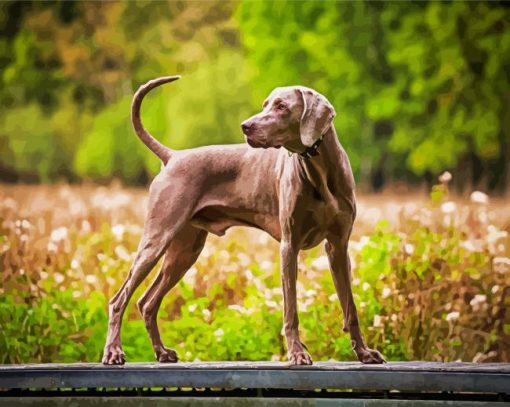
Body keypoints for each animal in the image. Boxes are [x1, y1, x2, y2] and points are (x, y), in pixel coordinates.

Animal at [101, 75, 384, 366]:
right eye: (265, 104)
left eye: (281, 106)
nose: (245, 126)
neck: (319, 170)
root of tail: (173, 156)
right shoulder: (289, 245)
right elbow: (290, 309)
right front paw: (297, 353)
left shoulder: (338, 246)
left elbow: (350, 307)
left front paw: (364, 352)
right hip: (157, 238)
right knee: (119, 300)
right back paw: (113, 351)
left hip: (184, 251)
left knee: (147, 302)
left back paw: (161, 352)